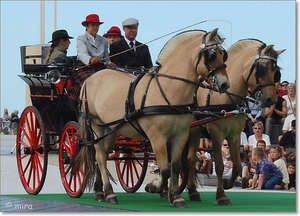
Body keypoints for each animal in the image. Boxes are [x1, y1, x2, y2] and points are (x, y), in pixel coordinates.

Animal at [72, 28, 230, 208]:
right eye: (211, 54)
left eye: (223, 54)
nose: (225, 84)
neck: (169, 90)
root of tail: (90, 79)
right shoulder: (157, 137)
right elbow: (164, 168)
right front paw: (155, 187)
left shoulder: (181, 135)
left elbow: (175, 166)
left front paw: (176, 196)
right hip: (96, 126)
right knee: (99, 157)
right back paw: (110, 193)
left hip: (110, 130)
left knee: (103, 157)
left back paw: (100, 192)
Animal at [184, 38, 284, 204]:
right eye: (262, 69)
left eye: (276, 72)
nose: (271, 99)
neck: (227, 96)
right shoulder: (217, 135)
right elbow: (219, 165)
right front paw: (221, 196)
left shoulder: (234, 135)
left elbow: (237, 165)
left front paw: (227, 184)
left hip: (194, 133)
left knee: (190, 160)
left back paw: (192, 192)